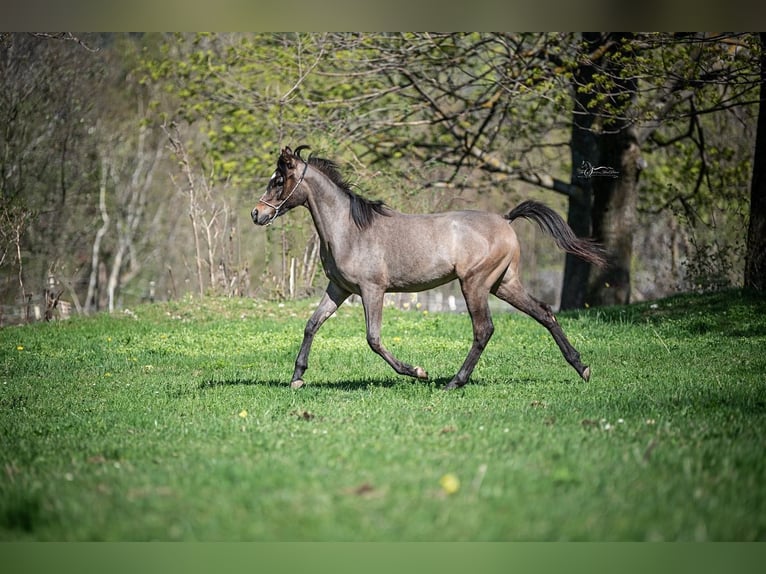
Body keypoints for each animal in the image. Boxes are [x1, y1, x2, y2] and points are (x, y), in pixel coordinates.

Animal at [252, 145, 608, 392]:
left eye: (279, 180)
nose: (257, 214)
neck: (349, 229)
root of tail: (506, 220)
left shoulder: (372, 289)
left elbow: (373, 339)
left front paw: (418, 372)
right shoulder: (339, 288)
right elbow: (311, 325)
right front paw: (297, 378)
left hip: (475, 284)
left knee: (484, 329)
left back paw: (454, 382)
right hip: (504, 284)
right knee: (544, 313)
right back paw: (582, 367)